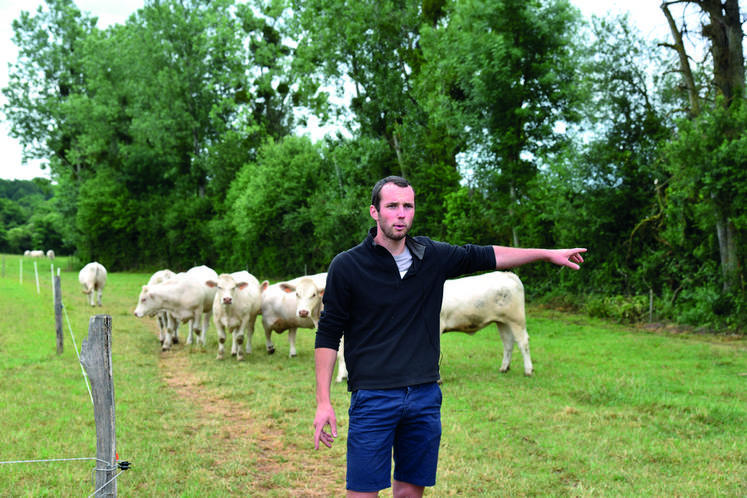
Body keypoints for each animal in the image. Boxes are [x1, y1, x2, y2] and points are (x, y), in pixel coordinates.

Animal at [336, 272, 536, 382]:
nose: (340, 378)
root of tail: (506, 274)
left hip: (516, 318)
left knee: (523, 342)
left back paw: (528, 370)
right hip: (502, 321)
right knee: (508, 343)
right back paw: (504, 367)